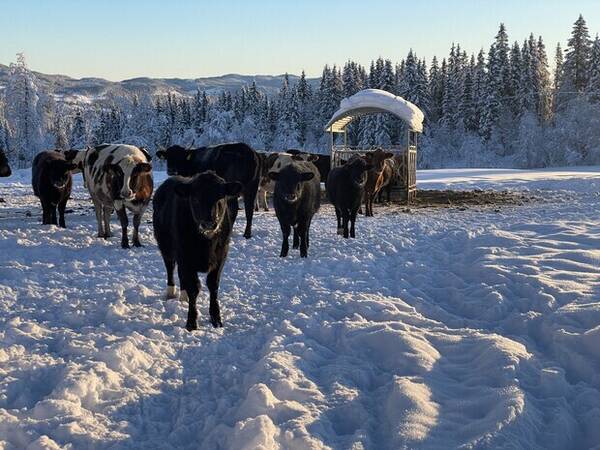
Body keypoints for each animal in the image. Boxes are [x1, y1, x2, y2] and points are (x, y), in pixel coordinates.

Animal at [152, 171, 241, 328]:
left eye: (221, 197)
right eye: (195, 199)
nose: (209, 223)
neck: (206, 243)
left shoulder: (221, 255)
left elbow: (213, 284)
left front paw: (216, 318)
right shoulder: (185, 257)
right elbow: (194, 288)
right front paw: (191, 322)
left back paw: (183, 296)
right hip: (166, 248)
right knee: (170, 269)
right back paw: (171, 292)